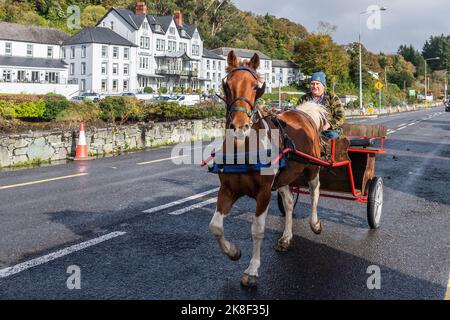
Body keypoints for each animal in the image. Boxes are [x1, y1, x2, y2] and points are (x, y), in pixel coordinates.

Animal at [209, 50, 328, 288]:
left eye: (256, 86)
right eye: (227, 85)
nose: (240, 127)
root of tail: (303, 113)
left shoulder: (263, 192)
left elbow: (257, 230)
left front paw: (252, 270)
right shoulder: (227, 190)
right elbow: (215, 226)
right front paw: (233, 252)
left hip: (312, 168)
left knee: (315, 192)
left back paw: (315, 223)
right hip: (284, 177)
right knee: (289, 202)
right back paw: (286, 237)